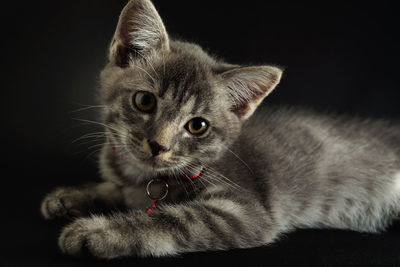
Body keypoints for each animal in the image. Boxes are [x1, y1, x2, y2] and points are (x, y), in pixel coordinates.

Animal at [39, 0, 400, 260]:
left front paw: (95, 232)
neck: (145, 179)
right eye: (144, 101)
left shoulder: (242, 211)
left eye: (197, 126)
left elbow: (171, 220)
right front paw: (71, 196)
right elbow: (116, 189)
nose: (158, 145)